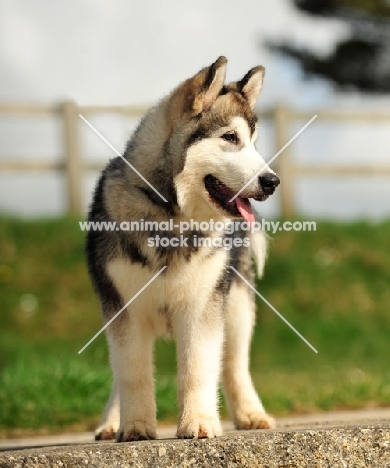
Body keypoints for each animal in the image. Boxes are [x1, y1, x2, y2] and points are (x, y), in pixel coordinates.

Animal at [85, 56, 280, 440]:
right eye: (230, 138)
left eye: (253, 143)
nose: (272, 181)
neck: (172, 215)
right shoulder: (122, 307)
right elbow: (131, 371)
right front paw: (134, 426)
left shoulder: (202, 304)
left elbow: (199, 367)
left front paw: (199, 422)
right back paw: (111, 422)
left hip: (237, 304)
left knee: (234, 364)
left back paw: (251, 414)